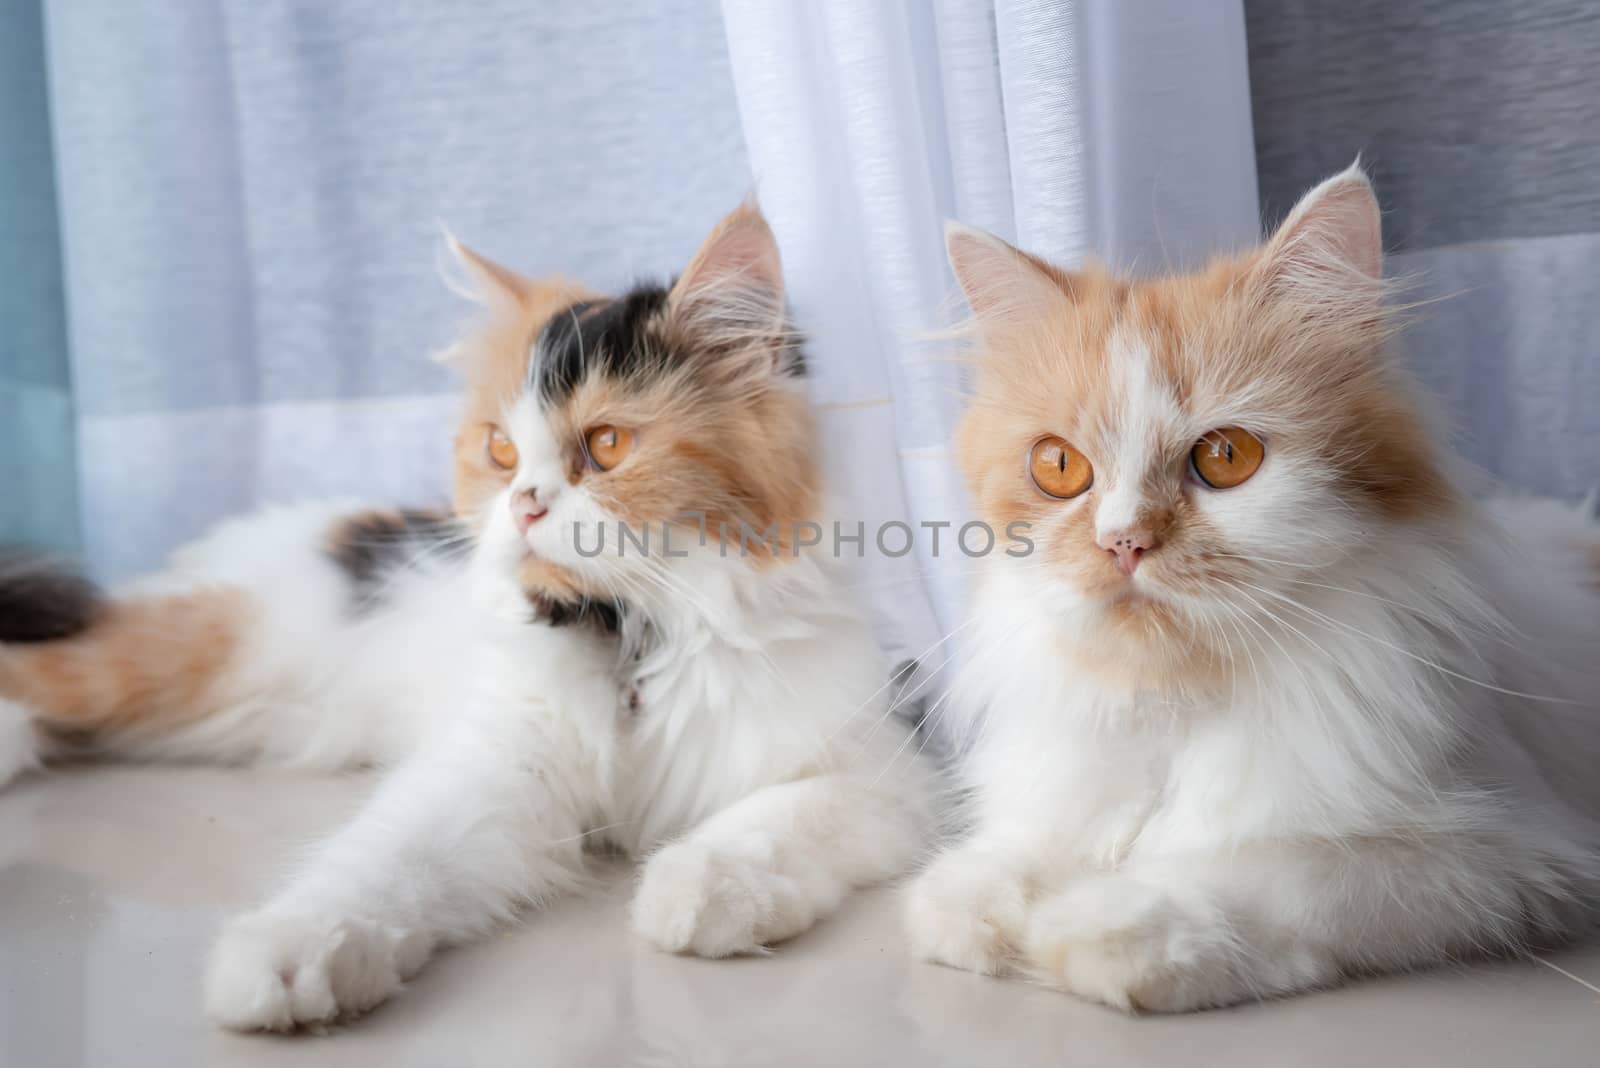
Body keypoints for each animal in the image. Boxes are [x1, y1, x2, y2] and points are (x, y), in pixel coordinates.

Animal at [0, 204, 934, 1029]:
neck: (630, 633)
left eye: (606, 447)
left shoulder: (879, 772)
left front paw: (693, 889)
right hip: (192, 652)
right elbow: (379, 861)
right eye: (502, 450)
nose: (524, 504)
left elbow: (769, 822)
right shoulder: (494, 766)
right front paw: (283, 959)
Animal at [908, 164, 1600, 1010]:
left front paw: (1100, 927)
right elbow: (1029, 848)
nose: (1122, 541)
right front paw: (974, 899)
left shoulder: (1510, 852)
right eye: (1058, 467)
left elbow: (1266, 875)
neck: (1178, 707)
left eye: (1227, 457)